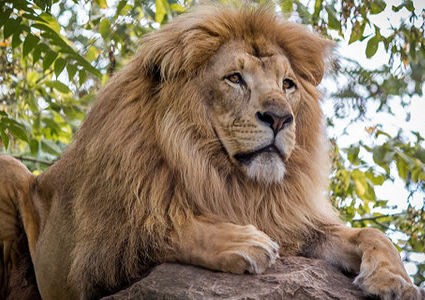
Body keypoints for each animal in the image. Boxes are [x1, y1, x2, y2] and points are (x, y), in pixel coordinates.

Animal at [0, 4, 424, 300]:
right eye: (234, 78)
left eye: (287, 84)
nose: (280, 118)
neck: (221, 174)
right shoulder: (95, 261)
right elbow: (166, 228)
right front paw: (244, 243)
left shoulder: (291, 221)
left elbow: (373, 234)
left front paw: (395, 280)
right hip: (11, 170)